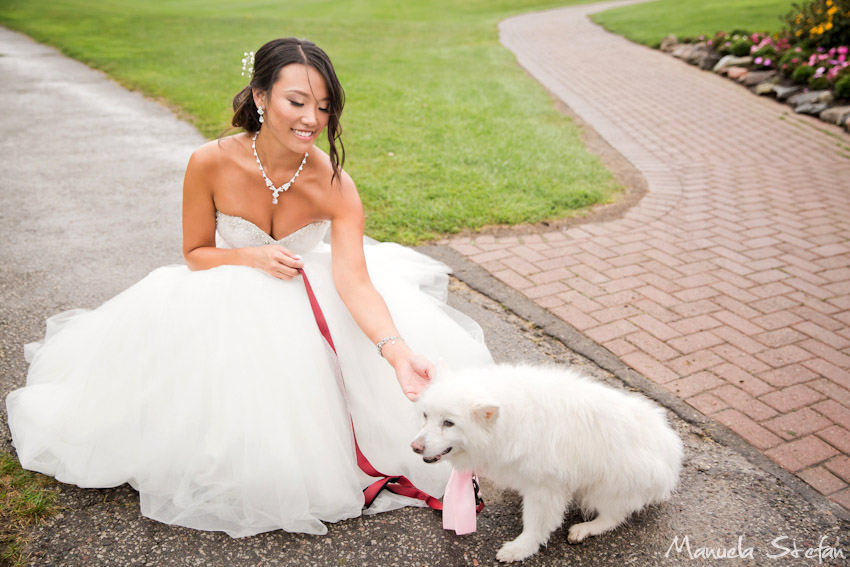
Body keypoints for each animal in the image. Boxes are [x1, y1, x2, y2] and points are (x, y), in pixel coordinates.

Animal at [410, 364, 684, 564]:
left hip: (606, 486)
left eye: (449, 423)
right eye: (425, 416)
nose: (415, 447)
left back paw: (585, 528)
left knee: (614, 517)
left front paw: (520, 548)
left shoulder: (546, 488)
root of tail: (672, 456)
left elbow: (536, 524)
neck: (510, 419)